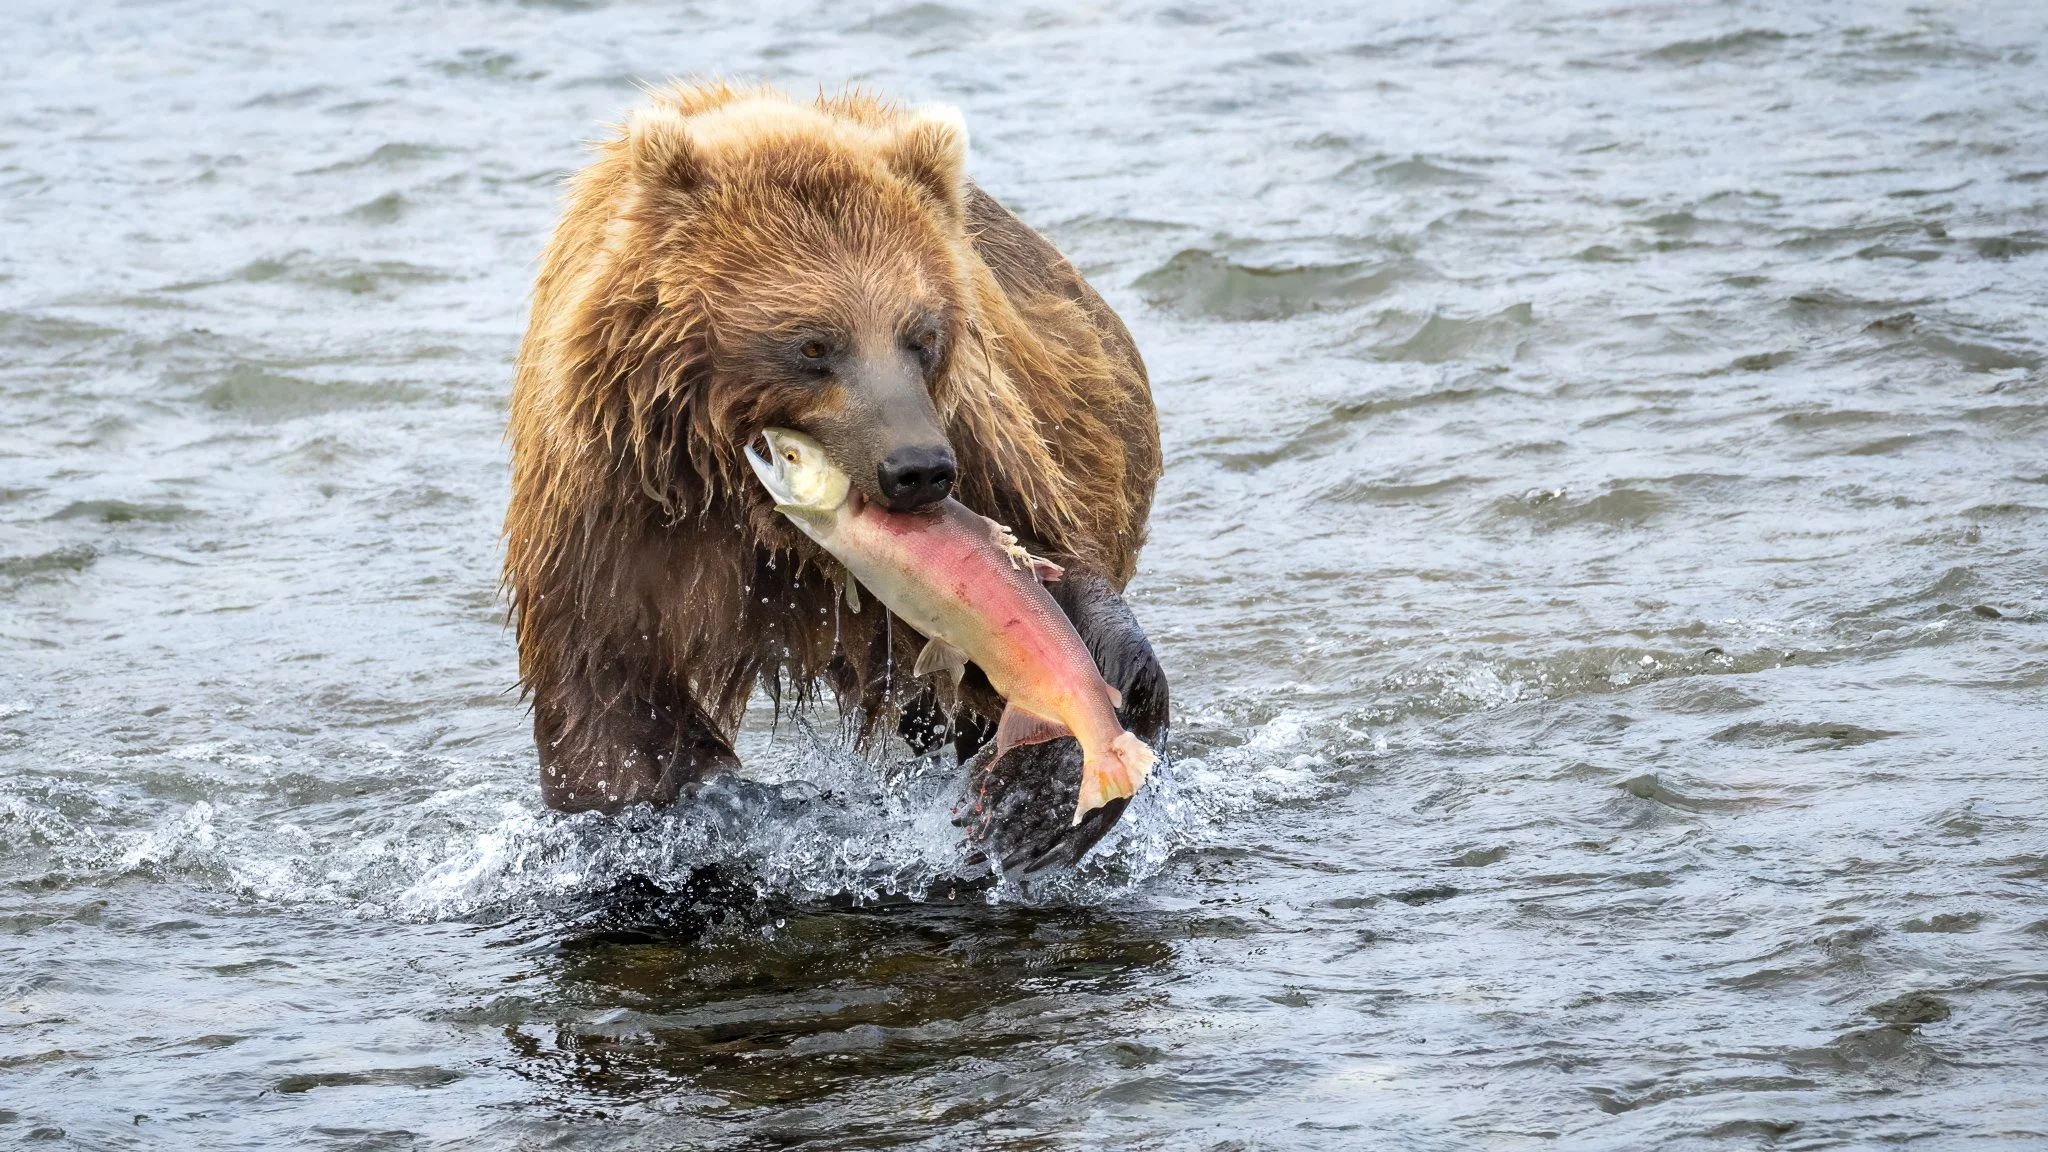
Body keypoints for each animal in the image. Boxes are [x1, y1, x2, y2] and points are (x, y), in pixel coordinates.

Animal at [502, 83, 1167, 871]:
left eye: (922, 334)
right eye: (814, 344)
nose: (918, 470)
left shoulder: (981, 445)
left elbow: (1036, 579)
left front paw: (1041, 794)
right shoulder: (615, 504)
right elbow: (609, 701)